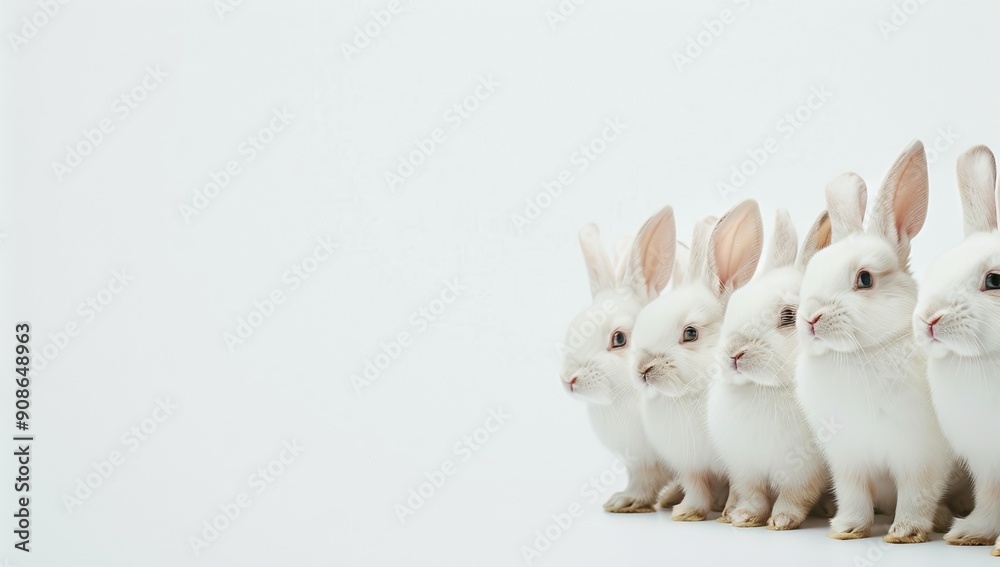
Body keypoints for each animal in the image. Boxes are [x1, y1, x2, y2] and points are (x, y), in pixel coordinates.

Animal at [559, 205, 687, 512]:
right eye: (573, 330)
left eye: (619, 339)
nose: (569, 379)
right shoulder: (641, 463)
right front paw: (624, 500)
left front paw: (622, 502)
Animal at [631, 199, 764, 522]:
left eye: (690, 333)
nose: (643, 369)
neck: (690, 395)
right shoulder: (690, 466)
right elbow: (696, 488)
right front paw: (686, 512)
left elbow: (737, 487)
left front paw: (729, 512)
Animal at [706, 207, 833, 530]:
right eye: (734, 305)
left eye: (788, 316)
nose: (734, 352)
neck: (763, 389)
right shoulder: (745, 469)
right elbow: (753, 496)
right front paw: (744, 517)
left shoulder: (803, 473)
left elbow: (794, 498)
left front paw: (782, 521)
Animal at [795, 140, 955, 543]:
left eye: (865, 279)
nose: (810, 319)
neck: (861, 353)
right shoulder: (848, 461)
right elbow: (853, 495)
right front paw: (847, 529)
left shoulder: (920, 458)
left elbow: (916, 494)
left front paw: (904, 533)